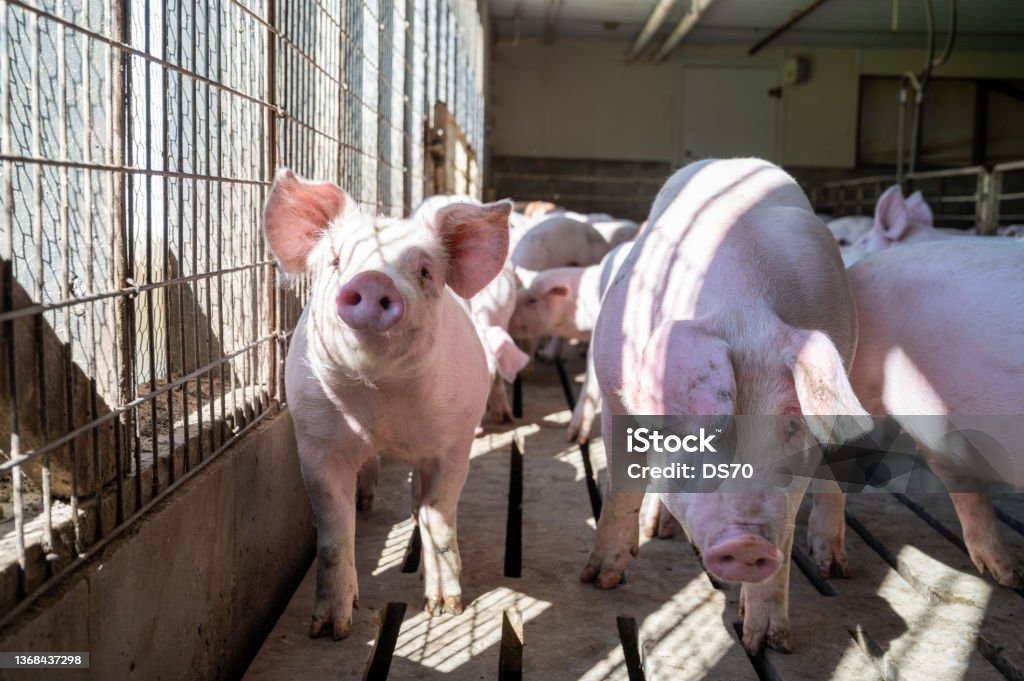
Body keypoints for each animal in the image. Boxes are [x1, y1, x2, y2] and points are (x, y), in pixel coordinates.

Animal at [264, 168, 512, 639]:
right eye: (336, 260)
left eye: (425, 271)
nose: (374, 280)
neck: (382, 402)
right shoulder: (317, 441)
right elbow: (333, 534)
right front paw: (330, 630)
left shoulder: (454, 441)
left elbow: (440, 518)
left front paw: (445, 608)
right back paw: (367, 500)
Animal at [585, 159, 872, 655]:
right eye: (707, 427)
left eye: (791, 423)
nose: (749, 542)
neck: (744, 311)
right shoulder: (613, 394)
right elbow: (622, 490)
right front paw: (600, 579)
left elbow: (788, 528)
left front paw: (771, 642)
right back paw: (656, 531)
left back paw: (834, 567)